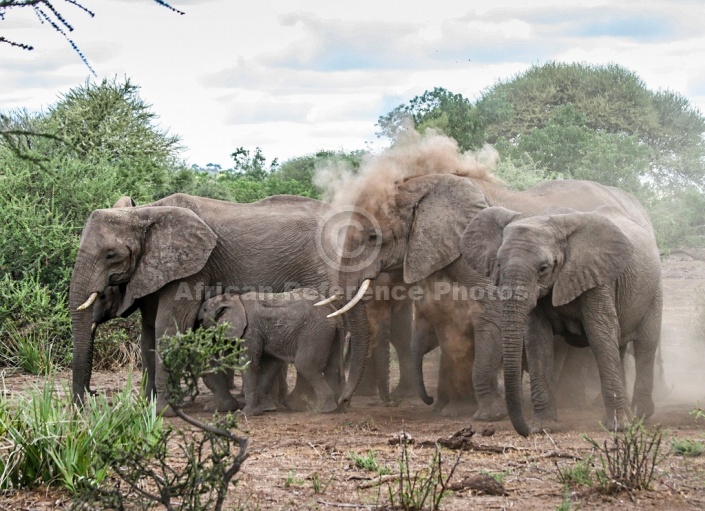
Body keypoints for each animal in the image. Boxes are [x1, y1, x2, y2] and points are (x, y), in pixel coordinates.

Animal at [197, 288, 346, 416]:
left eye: (205, 309)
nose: (197, 321)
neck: (235, 299)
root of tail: (333, 312)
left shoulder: (251, 330)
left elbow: (249, 364)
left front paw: (247, 414)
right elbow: (271, 364)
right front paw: (267, 409)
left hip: (315, 333)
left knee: (305, 365)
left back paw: (324, 409)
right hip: (330, 334)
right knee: (332, 367)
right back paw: (335, 407)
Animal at [460, 204, 664, 436]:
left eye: (544, 268)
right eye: (499, 265)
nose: (525, 430)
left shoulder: (597, 278)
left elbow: (600, 335)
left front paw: (619, 427)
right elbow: (537, 340)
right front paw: (543, 427)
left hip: (654, 291)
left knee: (646, 344)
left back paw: (640, 414)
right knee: (619, 346)